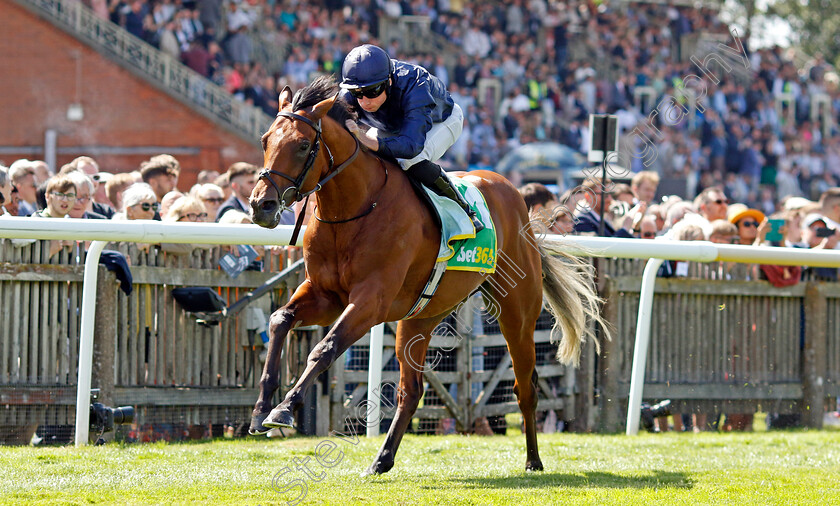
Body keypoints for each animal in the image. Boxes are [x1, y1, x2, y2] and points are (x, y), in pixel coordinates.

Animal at [246, 76, 608, 474]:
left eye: (301, 145)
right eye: (265, 140)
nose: (261, 205)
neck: (354, 208)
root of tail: (515, 198)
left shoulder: (370, 301)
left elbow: (324, 348)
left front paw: (283, 409)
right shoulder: (327, 297)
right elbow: (280, 320)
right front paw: (261, 409)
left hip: (517, 311)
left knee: (524, 386)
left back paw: (533, 459)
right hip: (420, 316)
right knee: (412, 391)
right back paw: (381, 459)